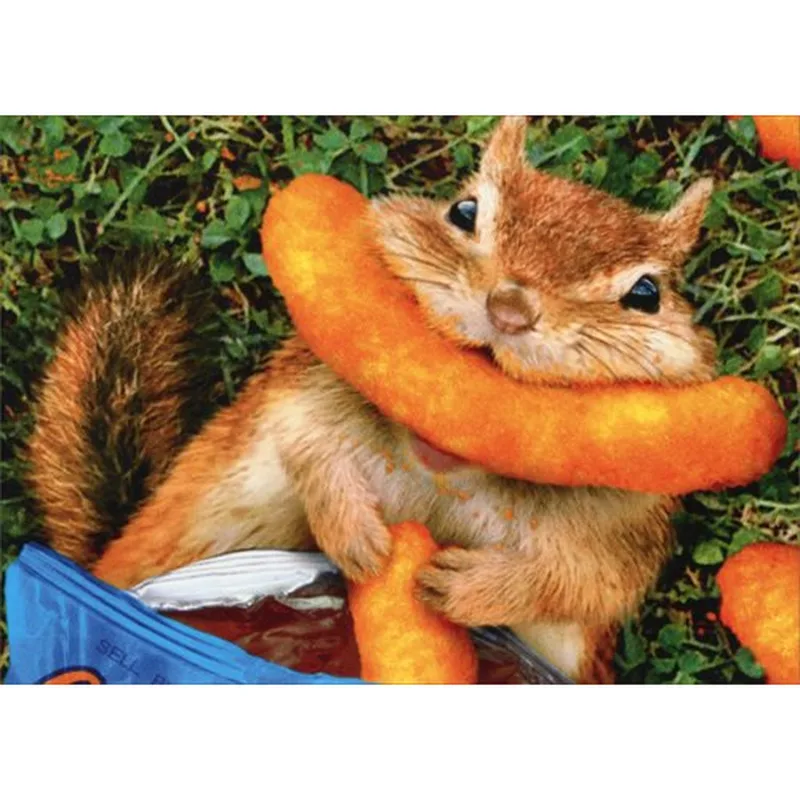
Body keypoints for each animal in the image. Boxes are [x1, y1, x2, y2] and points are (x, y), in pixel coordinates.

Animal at [27, 117, 717, 683]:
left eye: (647, 294)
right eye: (463, 210)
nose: (511, 308)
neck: (442, 470)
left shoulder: (622, 531)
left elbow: (584, 584)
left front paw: (466, 588)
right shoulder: (296, 393)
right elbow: (303, 446)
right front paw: (357, 537)